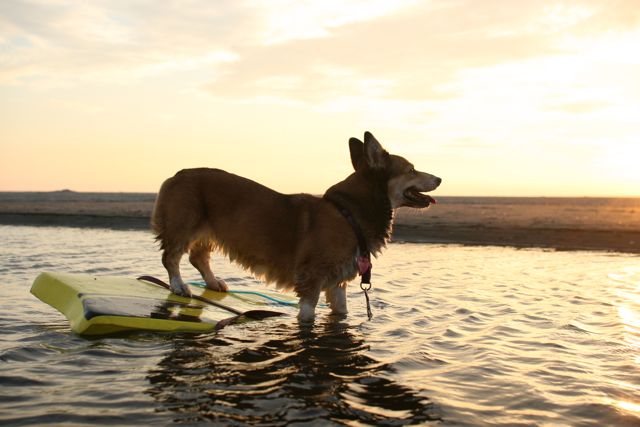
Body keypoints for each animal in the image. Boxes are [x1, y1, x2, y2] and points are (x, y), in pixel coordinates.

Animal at [151, 132, 440, 322]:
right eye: (411, 169)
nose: (439, 177)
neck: (349, 214)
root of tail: (176, 175)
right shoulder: (312, 279)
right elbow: (307, 315)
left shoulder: (337, 284)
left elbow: (342, 312)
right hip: (184, 226)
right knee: (171, 257)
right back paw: (179, 287)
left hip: (208, 230)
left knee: (198, 257)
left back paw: (212, 284)